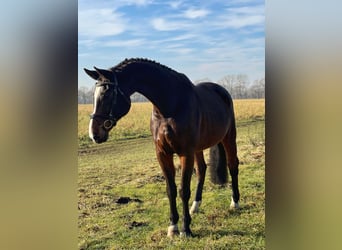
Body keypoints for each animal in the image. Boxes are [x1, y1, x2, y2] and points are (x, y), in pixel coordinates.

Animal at [85, 57, 240, 237]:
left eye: (107, 94)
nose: (94, 134)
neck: (170, 106)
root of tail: (222, 91)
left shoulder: (185, 153)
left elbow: (183, 190)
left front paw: (186, 229)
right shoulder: (163, 153)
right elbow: (171, 189)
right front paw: (173, 227)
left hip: (228, 138)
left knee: (233, 165)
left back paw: (235, 202)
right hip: (199, 147)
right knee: (202, 169)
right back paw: (196, 206)